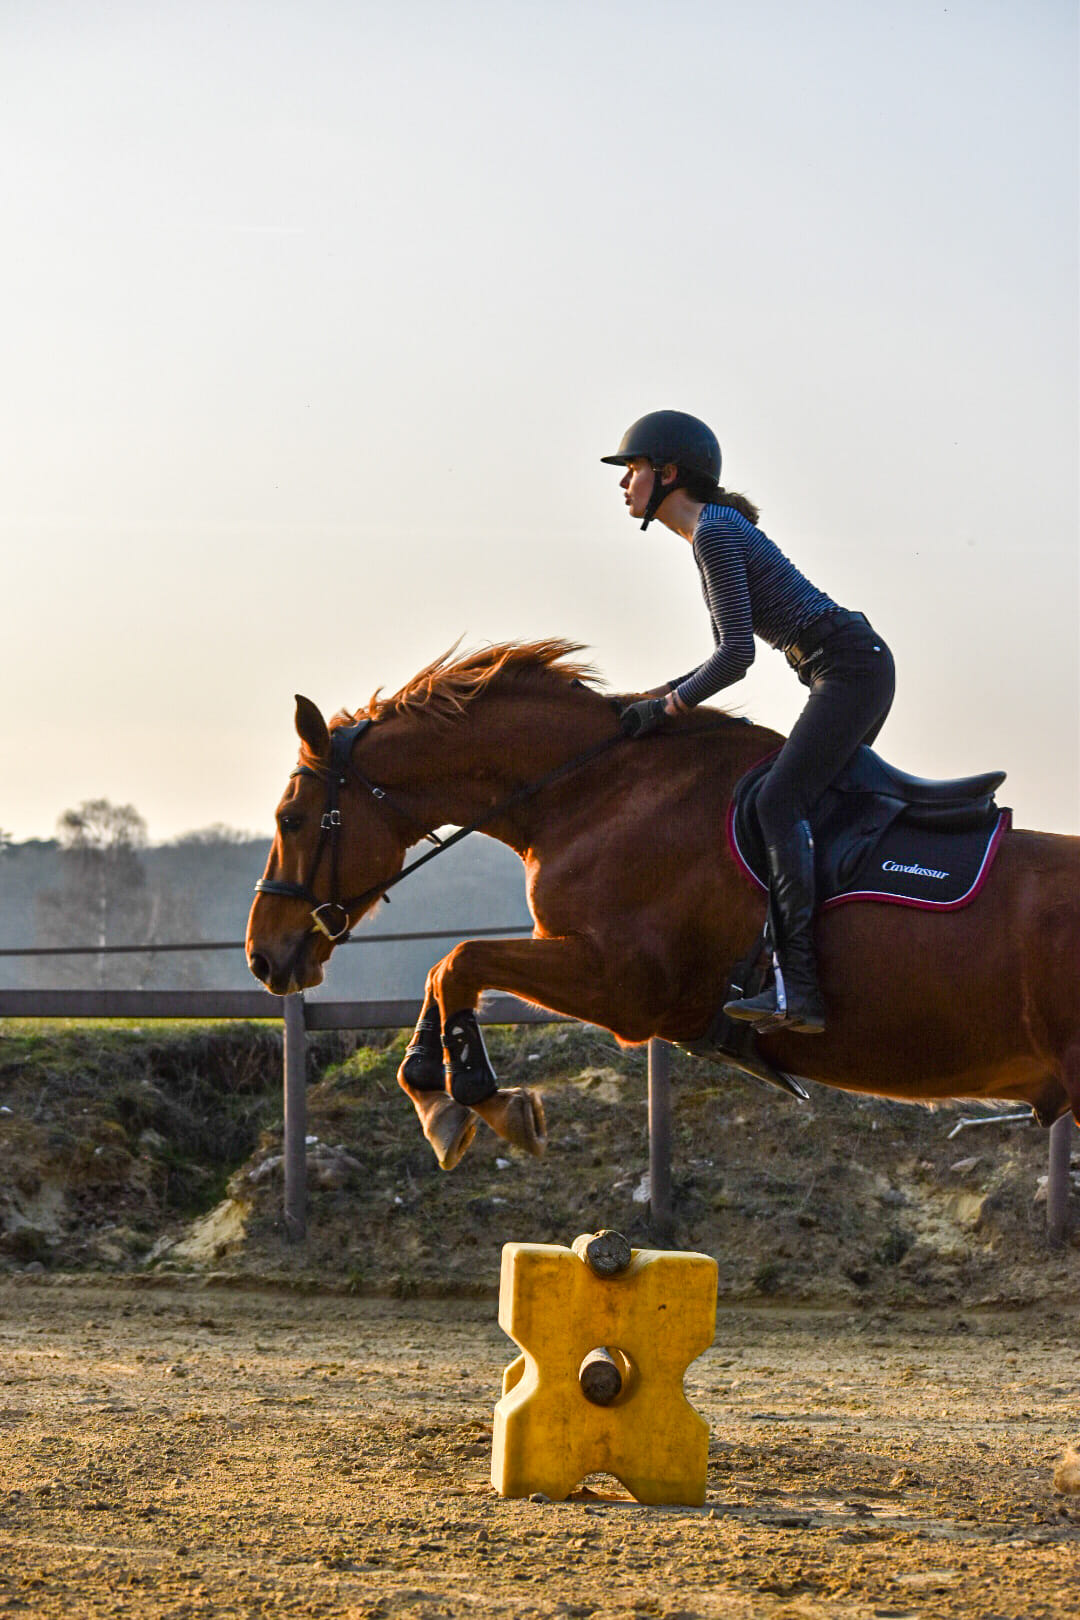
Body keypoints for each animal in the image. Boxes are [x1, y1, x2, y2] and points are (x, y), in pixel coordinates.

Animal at [244, 638, 1080, 1172]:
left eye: (292, 819)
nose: (263, 955)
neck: (591, 791)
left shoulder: (624, 987)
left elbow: (459, 961)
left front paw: (479, 1099)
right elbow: (446, 971)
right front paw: (437, 1099)